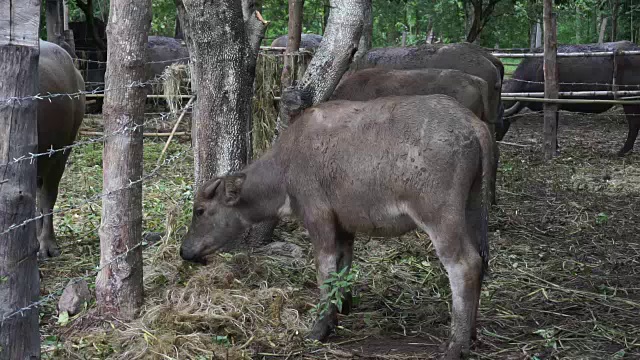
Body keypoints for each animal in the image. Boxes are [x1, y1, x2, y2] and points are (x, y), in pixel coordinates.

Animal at [182, 94, 492, 358]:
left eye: (200, 211)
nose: (185, 251)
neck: (286, 166)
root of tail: (473, 124)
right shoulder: (344, 227)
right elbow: (343, 266)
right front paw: (342, 307)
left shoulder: (319, 219)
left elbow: (325, 272)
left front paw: (320, 328)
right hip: (474, 209)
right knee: (481, 261)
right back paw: (471, 334)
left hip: (441, 217)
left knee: (465, 265)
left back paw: (456, 345)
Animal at [500, 40, 640, 156]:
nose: (496, 137)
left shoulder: (553, 105)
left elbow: (554, 127)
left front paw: (555, 148)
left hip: (630, 101)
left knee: (634, 125)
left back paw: (622, 151)